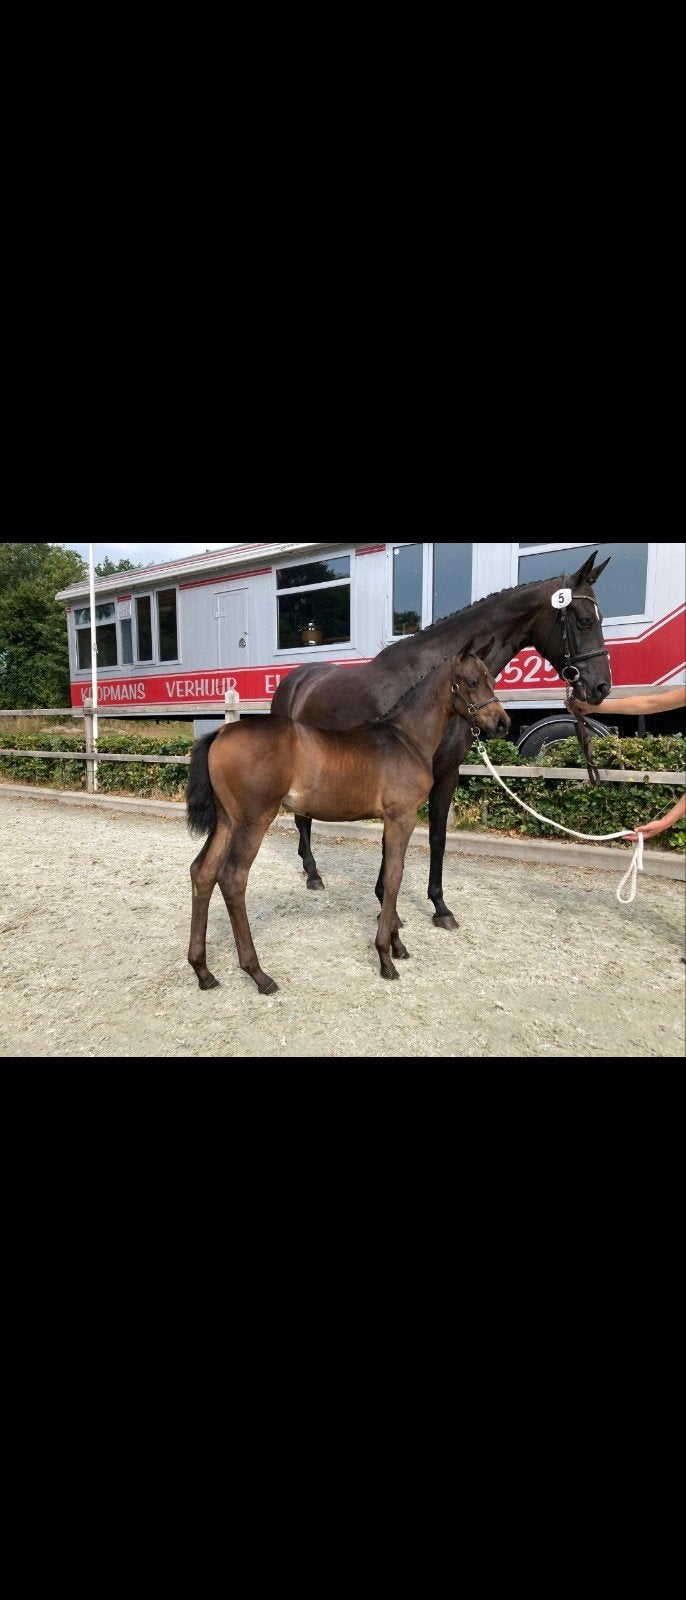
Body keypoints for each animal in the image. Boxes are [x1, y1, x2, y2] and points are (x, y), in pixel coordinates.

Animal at [186, 647, 509, 996]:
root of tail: (221, 732)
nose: (502, 723)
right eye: (472, 682)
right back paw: (259, 974)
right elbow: (394, 877)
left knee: (202, 871)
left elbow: (387, 874)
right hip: (253, 820)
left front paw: (396, 944)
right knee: (232, 878)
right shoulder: (402, 817)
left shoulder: (390, 820)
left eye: (493, 679)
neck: (406, 738)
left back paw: (202, 971)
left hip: (226, 820)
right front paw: (386, 958)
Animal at [270, 549, 611, 929]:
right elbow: (392, 841)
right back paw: (313, 873)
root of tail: (296, 680)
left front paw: (439, 907)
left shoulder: (447, 773)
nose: (600, 687)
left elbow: (437, 836)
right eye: (584, 621)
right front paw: (388, 907)